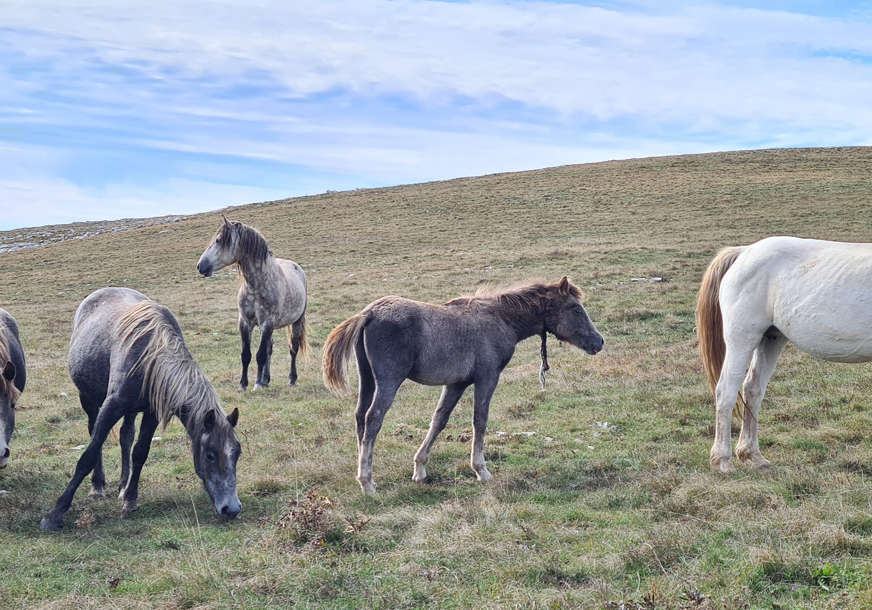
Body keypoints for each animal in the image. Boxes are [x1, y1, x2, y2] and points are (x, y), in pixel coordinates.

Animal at [39, 284, 240, 528]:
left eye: (237, 453)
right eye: (210, 454)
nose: (232, 509)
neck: (150, 355)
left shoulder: (151, 413)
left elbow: (140, 452)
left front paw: (130, 499)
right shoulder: (111, 406)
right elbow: (88, 454)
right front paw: (55, 513)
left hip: (131, 410)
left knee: (126, 436)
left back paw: (123, 484)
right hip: (88, 399)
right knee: (94, 433)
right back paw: (97, 485)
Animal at [196, 216, 308, 390]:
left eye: (219, 240)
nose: (200, 266)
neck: (256, 285)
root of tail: (297, 268)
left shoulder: (267, 323)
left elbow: (260, 355)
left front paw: (257, 385)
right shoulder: (245, 323)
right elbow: (246, 355)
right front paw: (243, 385)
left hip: (296, 321)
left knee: (293, 349)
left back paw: (291, 379)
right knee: (270, 348)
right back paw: (266, 379)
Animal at [324, 278, 604, 492]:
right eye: (575, 308)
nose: (599, 342)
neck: (500, 318)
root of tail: (369, 312)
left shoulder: (456, 384)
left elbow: (439, 420)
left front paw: (420, 468)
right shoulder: (487, 378)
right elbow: (480, 420)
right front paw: (481, 470)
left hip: (367, 380)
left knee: (360, 417)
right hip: (388, 382)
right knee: (373, 418)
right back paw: (367, 482)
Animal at [700, 235, 872, 472]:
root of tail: (744, 252)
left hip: (771, 339)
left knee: (752, 388)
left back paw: (752, 455)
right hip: (742, 340)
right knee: (726, 391)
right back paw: (723, 461)